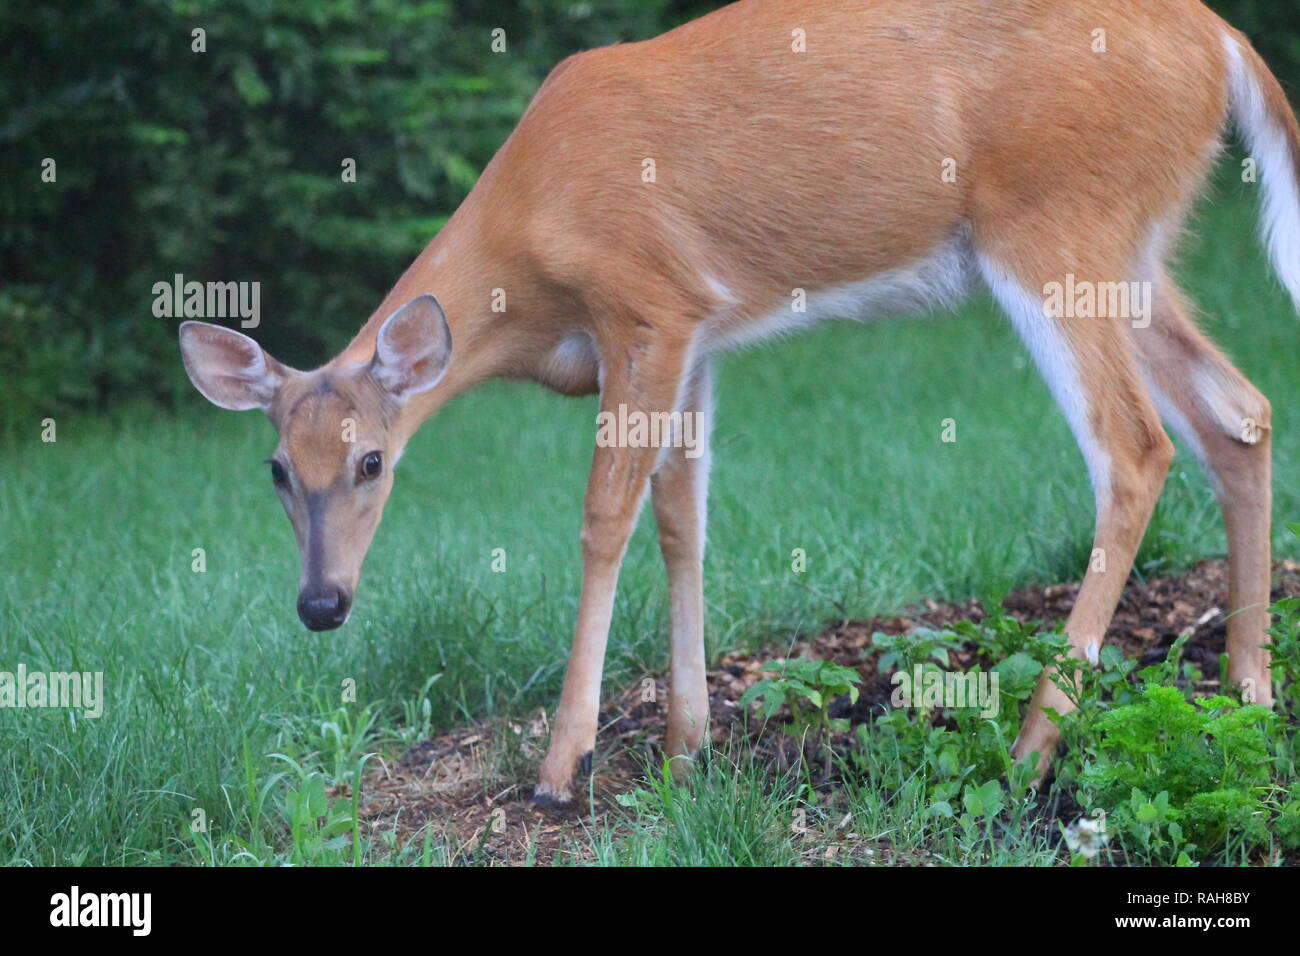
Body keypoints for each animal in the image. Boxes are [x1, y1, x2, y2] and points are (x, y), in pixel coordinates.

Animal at [179, 0, 1300, 807]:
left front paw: (562, 767)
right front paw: (687, 748)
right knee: (1239, 410)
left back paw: (1030, 746)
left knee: (1135, 445)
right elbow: (684, 521)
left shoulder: (647, 307)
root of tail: (1223, 39)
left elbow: (604, 518)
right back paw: (1246, 685)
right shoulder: (699, 342)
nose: (321, 604)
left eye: (374, 461)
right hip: (1134, 251)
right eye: (276, 470)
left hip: (1056, 220)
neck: (530, 262)